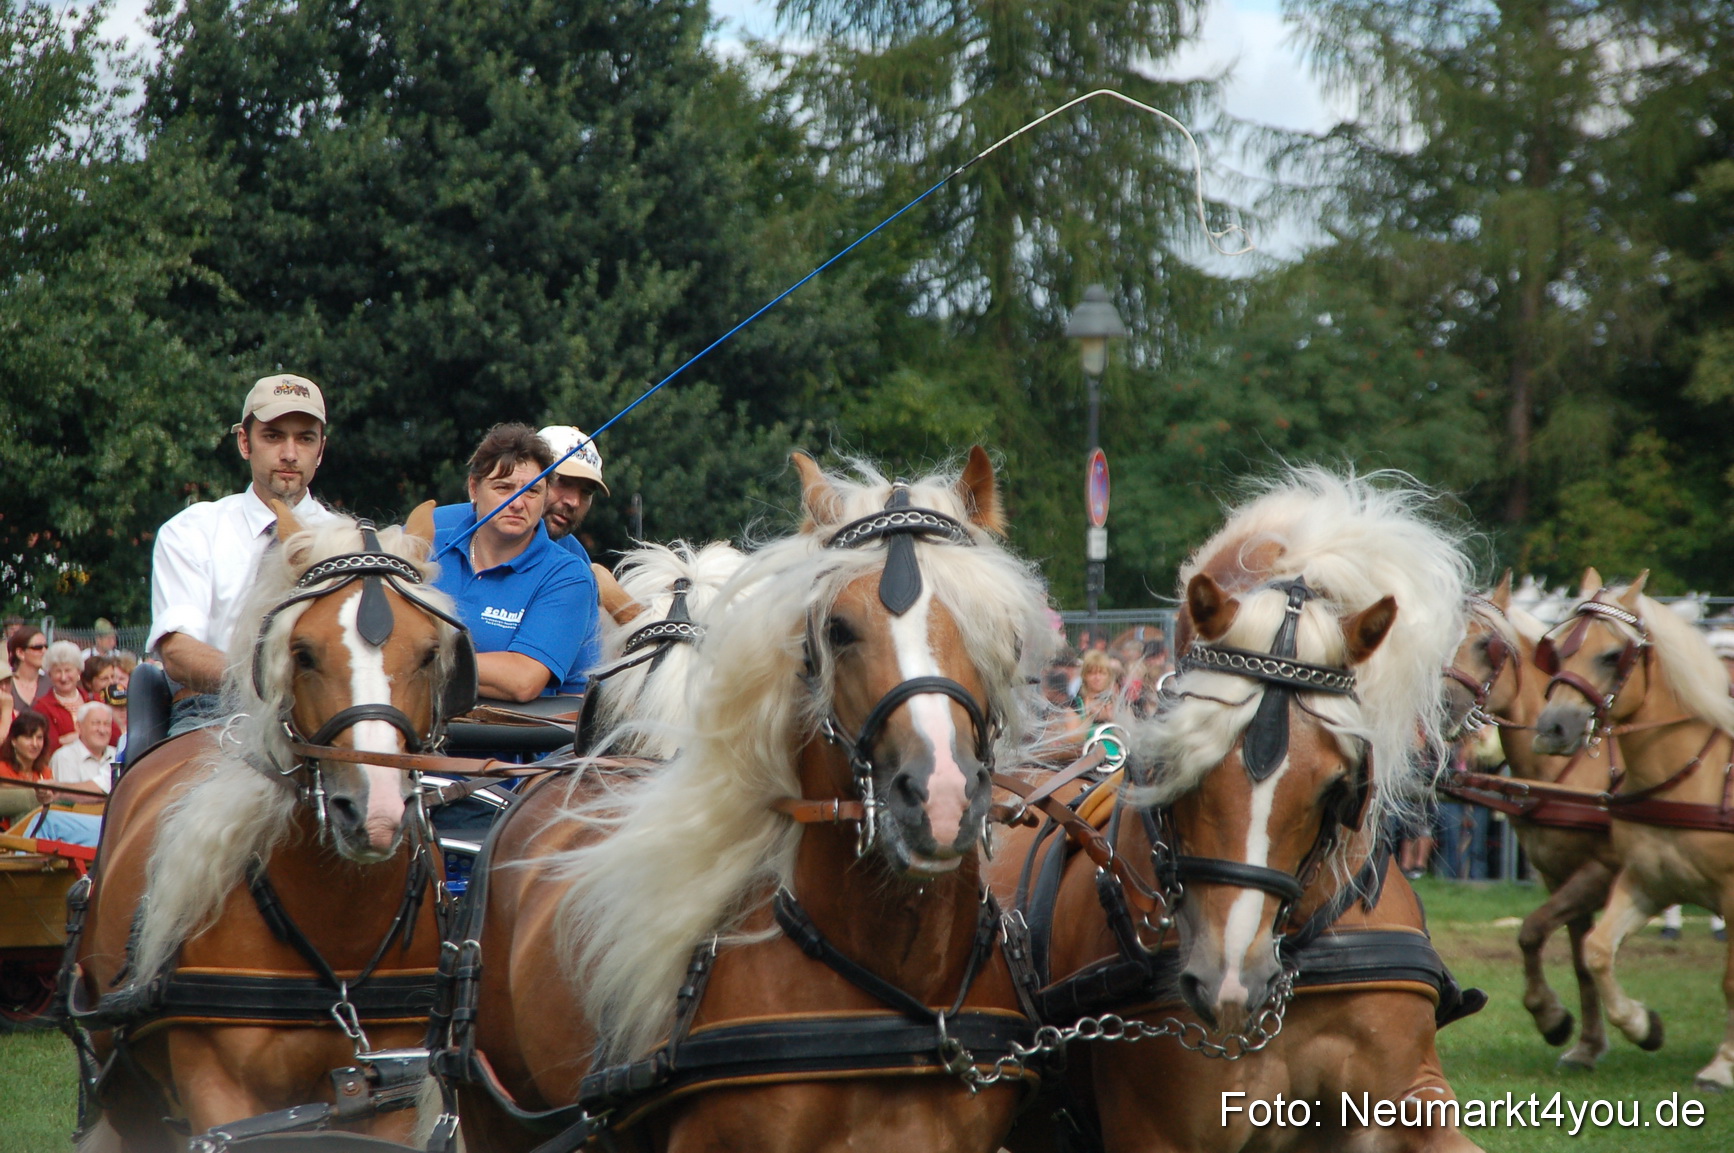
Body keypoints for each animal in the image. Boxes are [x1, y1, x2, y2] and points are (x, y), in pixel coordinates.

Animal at [66, 501, 475, 1150]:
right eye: (302, 653)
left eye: (430, 654)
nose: (375, 811)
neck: (336, 924)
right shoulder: (221, 1094)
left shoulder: (394, 1093)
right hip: (128, 1093)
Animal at [1439, 570, 1619, 1069]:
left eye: (1487, 645)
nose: (1440, 705)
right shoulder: (1558, 873)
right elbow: (1576, 956)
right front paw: (1585, 1042)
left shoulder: (1600, 869)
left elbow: (1532, 930)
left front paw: (1550, 1016)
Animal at [1531, 572, 1734, 1090]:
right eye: (1556, 650)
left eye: (1610, 655)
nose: (1551, 728)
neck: (1687, 776)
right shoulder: (1646, 881)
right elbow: (1596, 950)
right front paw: (1643, 1026)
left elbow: (1729, 979)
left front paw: (1722, 1065)